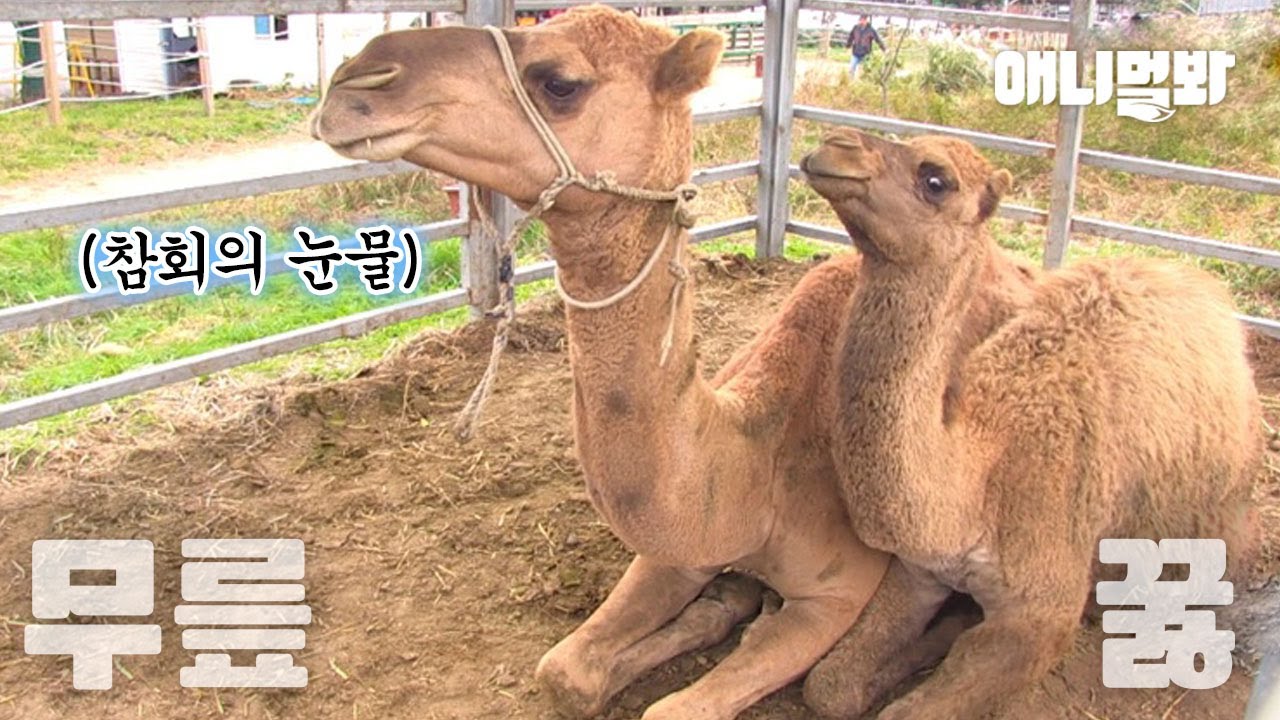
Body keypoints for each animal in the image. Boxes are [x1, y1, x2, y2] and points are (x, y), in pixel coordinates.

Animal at [310, 8, 913, 718]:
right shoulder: (674, 550)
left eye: (560, 82)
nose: (355, 80)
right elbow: (564, 671)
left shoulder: (836, 592)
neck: (756, 472)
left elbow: (675, 707)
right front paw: (722, 602)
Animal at [801, 128, 1262, 720]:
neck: (978, 480)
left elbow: (913, 707)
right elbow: (829, 687)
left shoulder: (1040, 609)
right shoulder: (921, 569)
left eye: (936, 179)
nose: (835, 145)